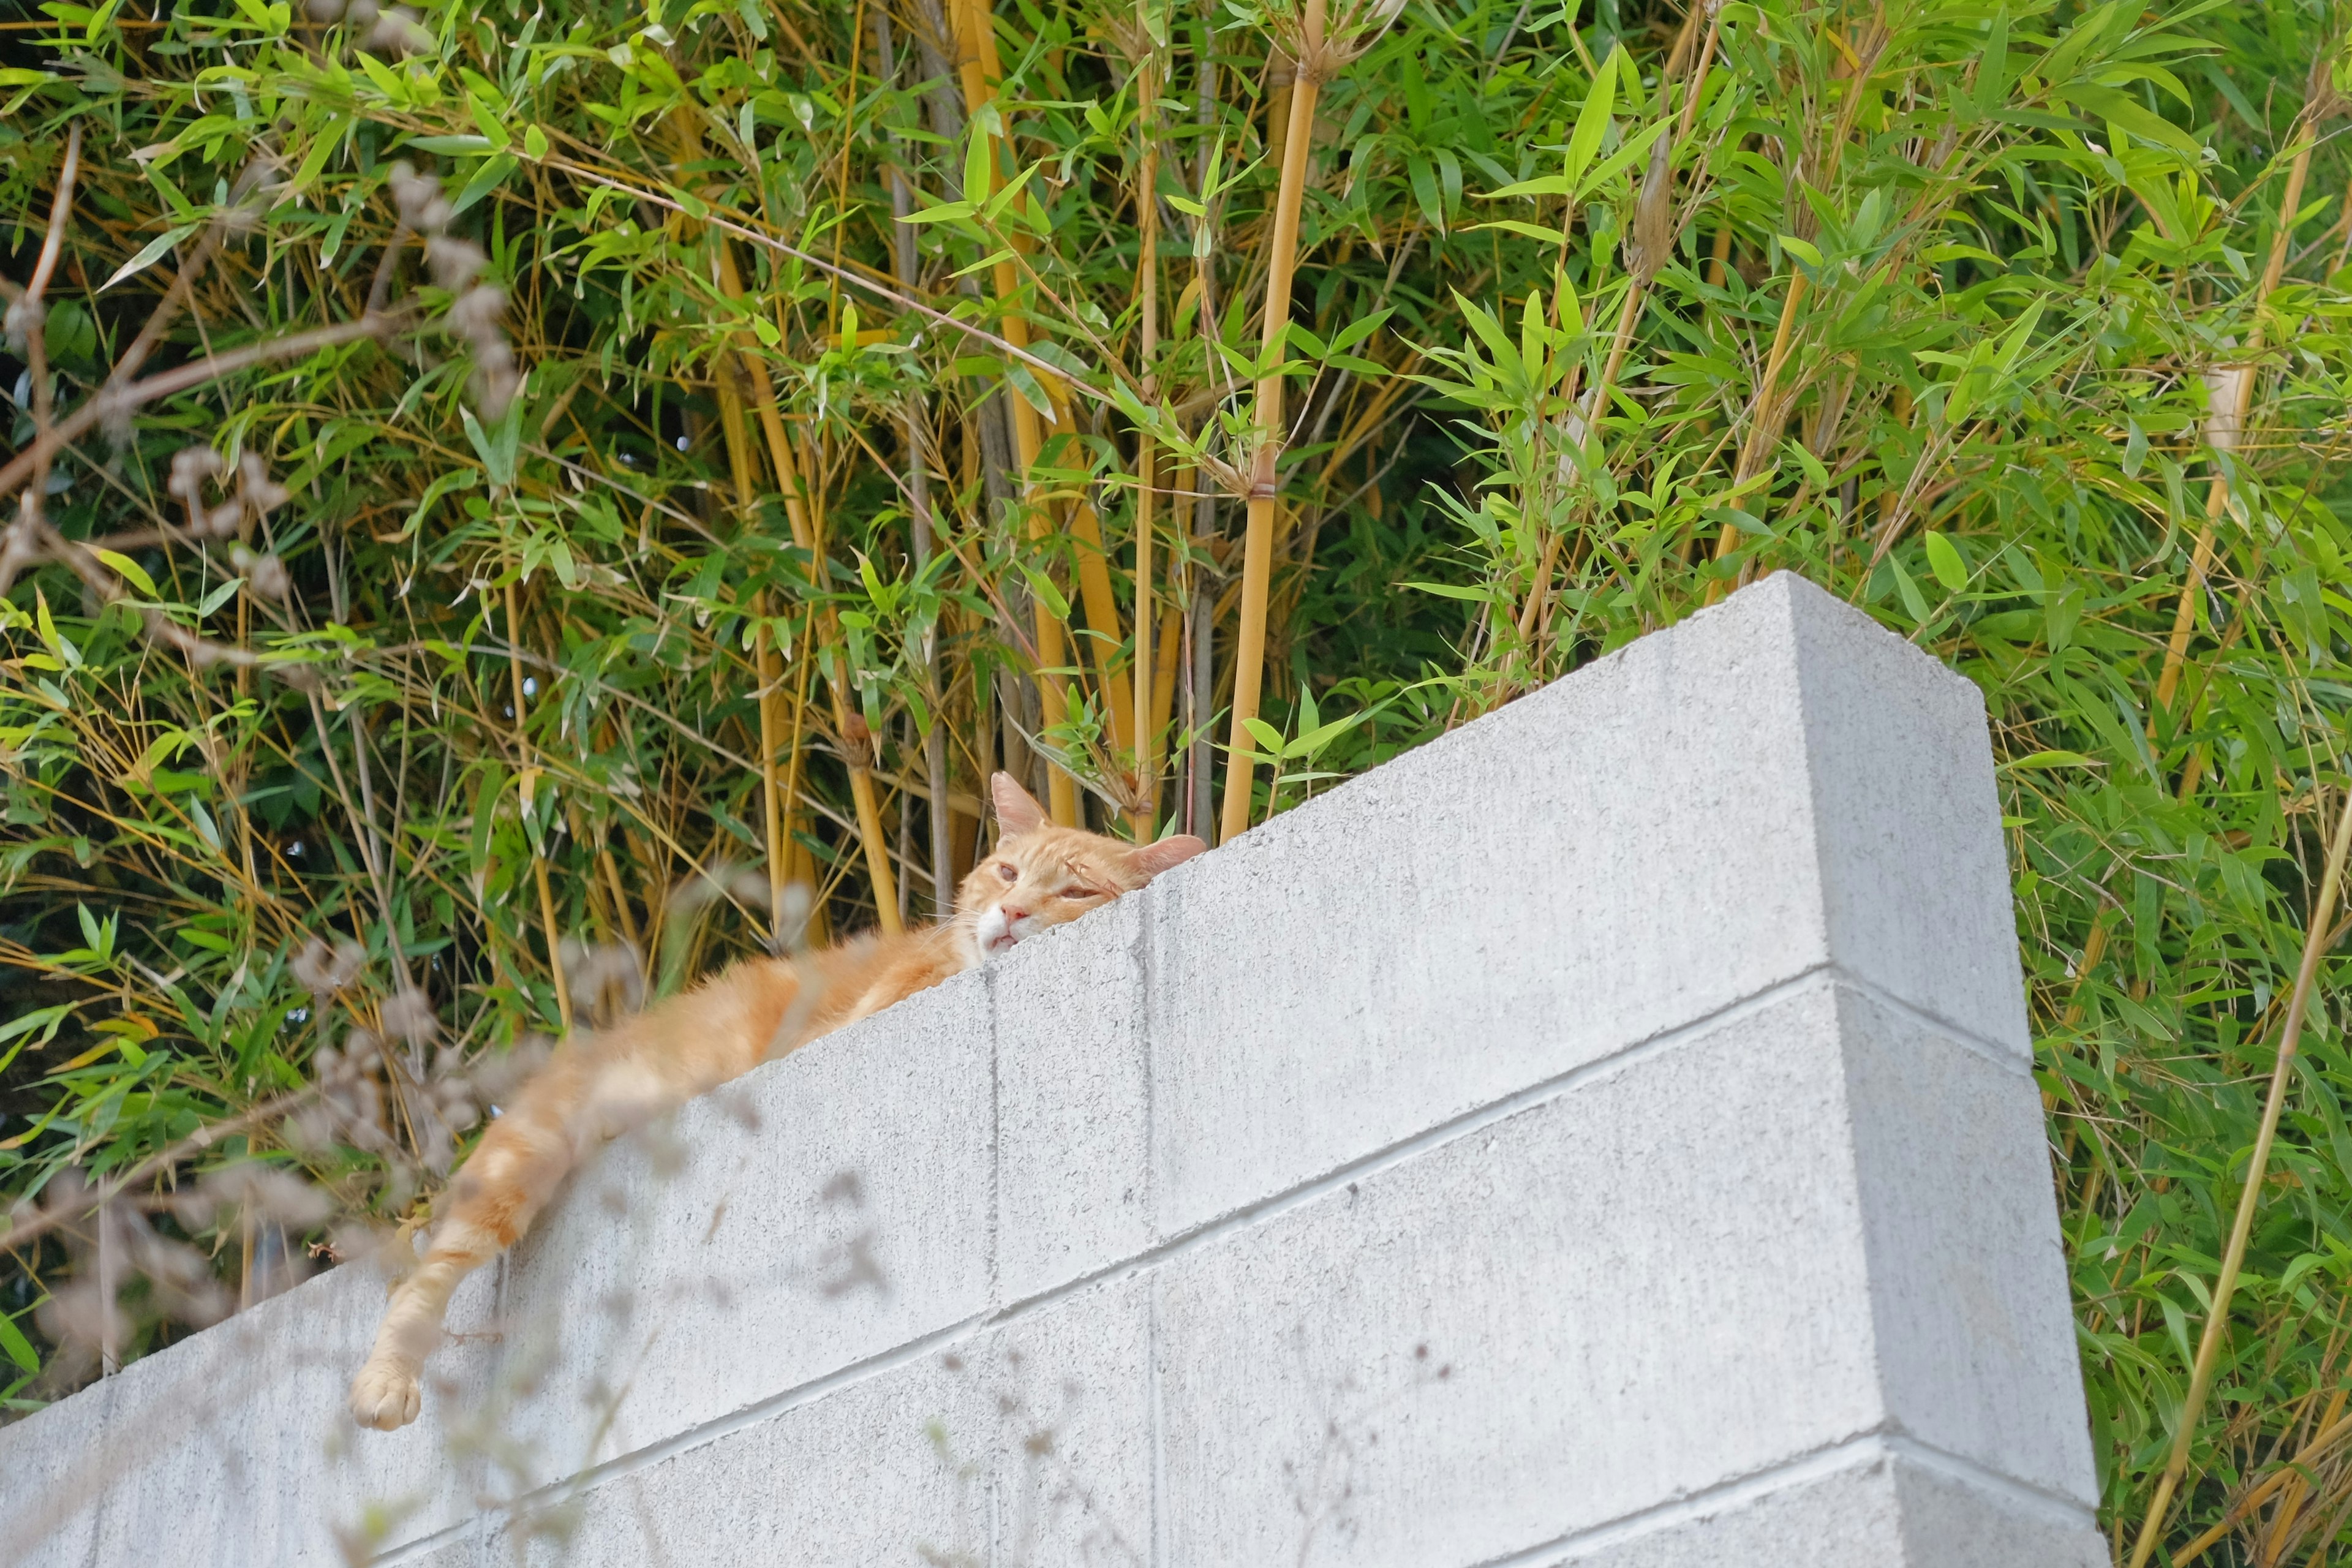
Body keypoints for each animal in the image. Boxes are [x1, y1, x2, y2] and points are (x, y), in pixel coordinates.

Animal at [348, 775, 1204, 1438]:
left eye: (1076, 890)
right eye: (1006, 869)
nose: (1015, 913)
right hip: (525, 1154)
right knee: (424, 1275)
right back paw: (385, 1381)